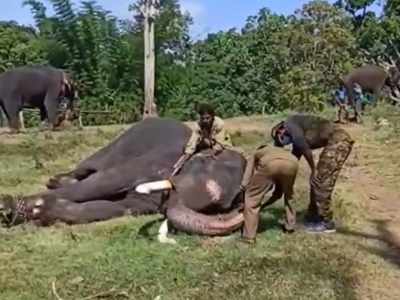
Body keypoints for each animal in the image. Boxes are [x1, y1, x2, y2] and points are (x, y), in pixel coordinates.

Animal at [0, 117, 247, 237]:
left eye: (218, 203)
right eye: (203, 162)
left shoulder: (141, 204)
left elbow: (114, 208)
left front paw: (40, 212)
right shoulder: (151, 160)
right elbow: (102, 183)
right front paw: (9, 206)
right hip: (116, 143)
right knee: (88, 168)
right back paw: (58, 180)